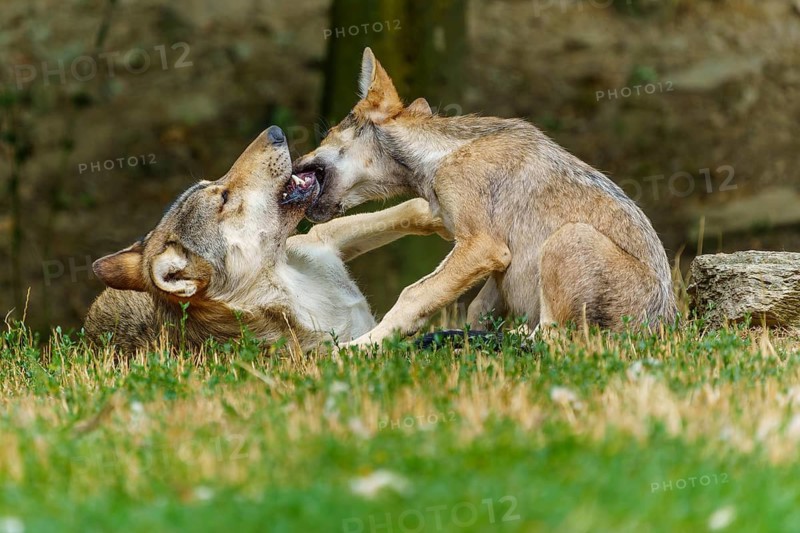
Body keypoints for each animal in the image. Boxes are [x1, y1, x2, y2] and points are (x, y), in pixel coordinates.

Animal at [85, 126, 448, 352]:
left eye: (215, 183)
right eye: (224, 199)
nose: (274, 131)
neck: (288, 279)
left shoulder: (322, 238)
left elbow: (410, 209)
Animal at [293, 48, 677, 348]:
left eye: (326, 132)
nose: (295, 163)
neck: (439, 157)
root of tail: (664, 330)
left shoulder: (483, 246)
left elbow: (411, 295)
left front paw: (356, 349)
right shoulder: (485, 253)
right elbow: (473, 307)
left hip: (568, 238)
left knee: (550, 338)